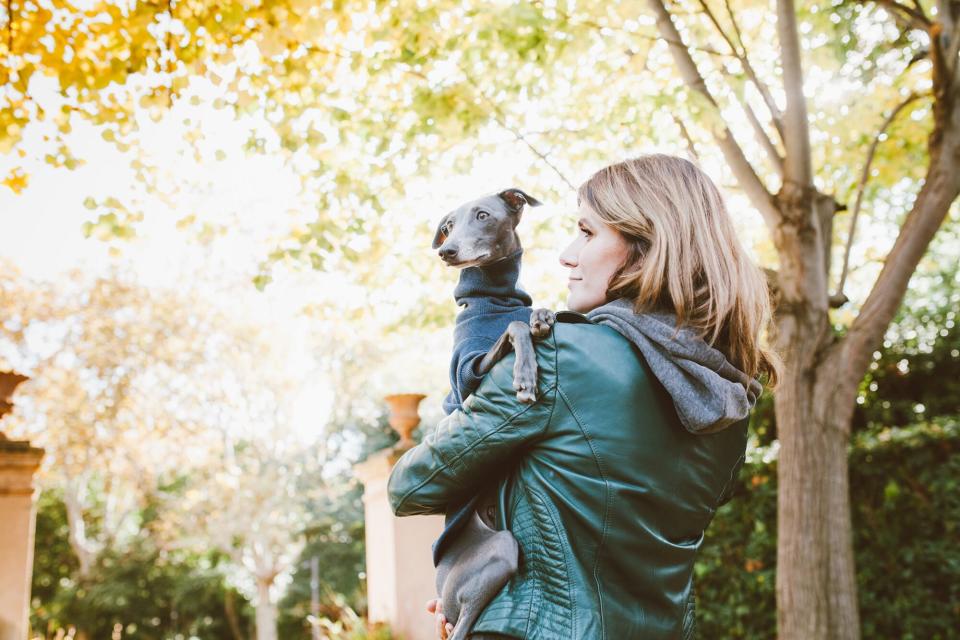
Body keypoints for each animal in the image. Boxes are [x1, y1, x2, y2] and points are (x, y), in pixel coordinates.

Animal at [430, 188, 556, 636]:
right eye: (448, 226)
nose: (446, 251)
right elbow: (514, 330)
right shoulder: (469, 372)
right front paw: (525, 376)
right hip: (498, 547)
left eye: (483, 215)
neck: (495, 298)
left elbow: (527, 318)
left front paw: (542, 315)